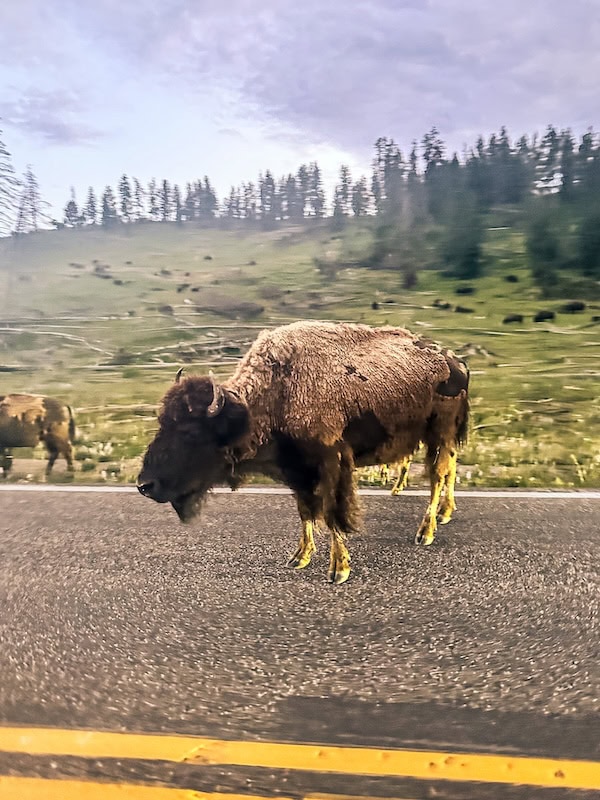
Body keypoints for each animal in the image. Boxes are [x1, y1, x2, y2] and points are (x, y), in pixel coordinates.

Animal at [138, 321, 469, 584]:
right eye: (162, 423)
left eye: (190, 432)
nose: (144, 485)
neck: (277, 391)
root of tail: (455, 361)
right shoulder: (296, 470)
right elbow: (306, 510)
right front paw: (300, 557)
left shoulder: (331, 462)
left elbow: (333, 513)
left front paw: (338, 570)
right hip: (441, 437)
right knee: (449, 470)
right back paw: (445, 514)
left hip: (440, 431)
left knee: (438, 476)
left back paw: (426, 532)